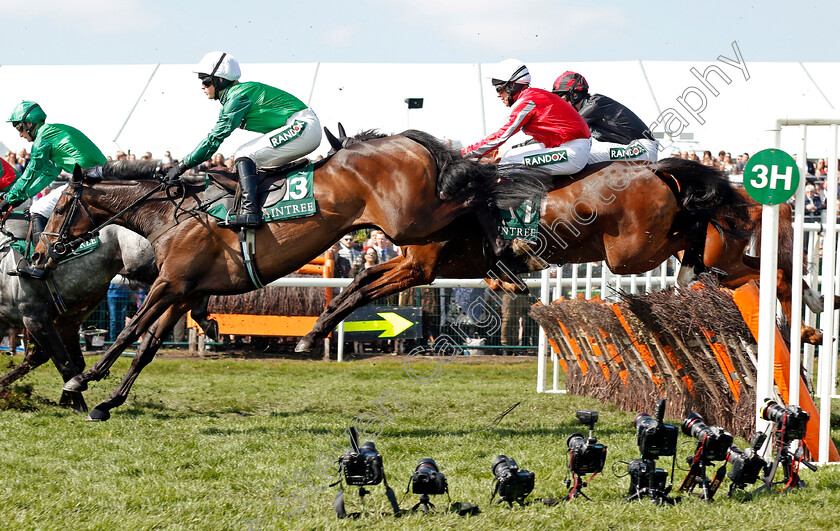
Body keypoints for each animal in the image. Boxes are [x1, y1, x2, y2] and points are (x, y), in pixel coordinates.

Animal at [34, 130, 552, 420]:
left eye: (58, 207)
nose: (39, 256)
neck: (170, 214)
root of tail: (406, 140)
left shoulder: (169, 284)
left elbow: (130, 332)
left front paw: (81, 382)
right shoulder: (184, 291)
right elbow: (146, 348)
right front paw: (106, 402)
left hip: (412, 222)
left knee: (475, 192)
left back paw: (502, 242)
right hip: (417, 240)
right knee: (377, 278)